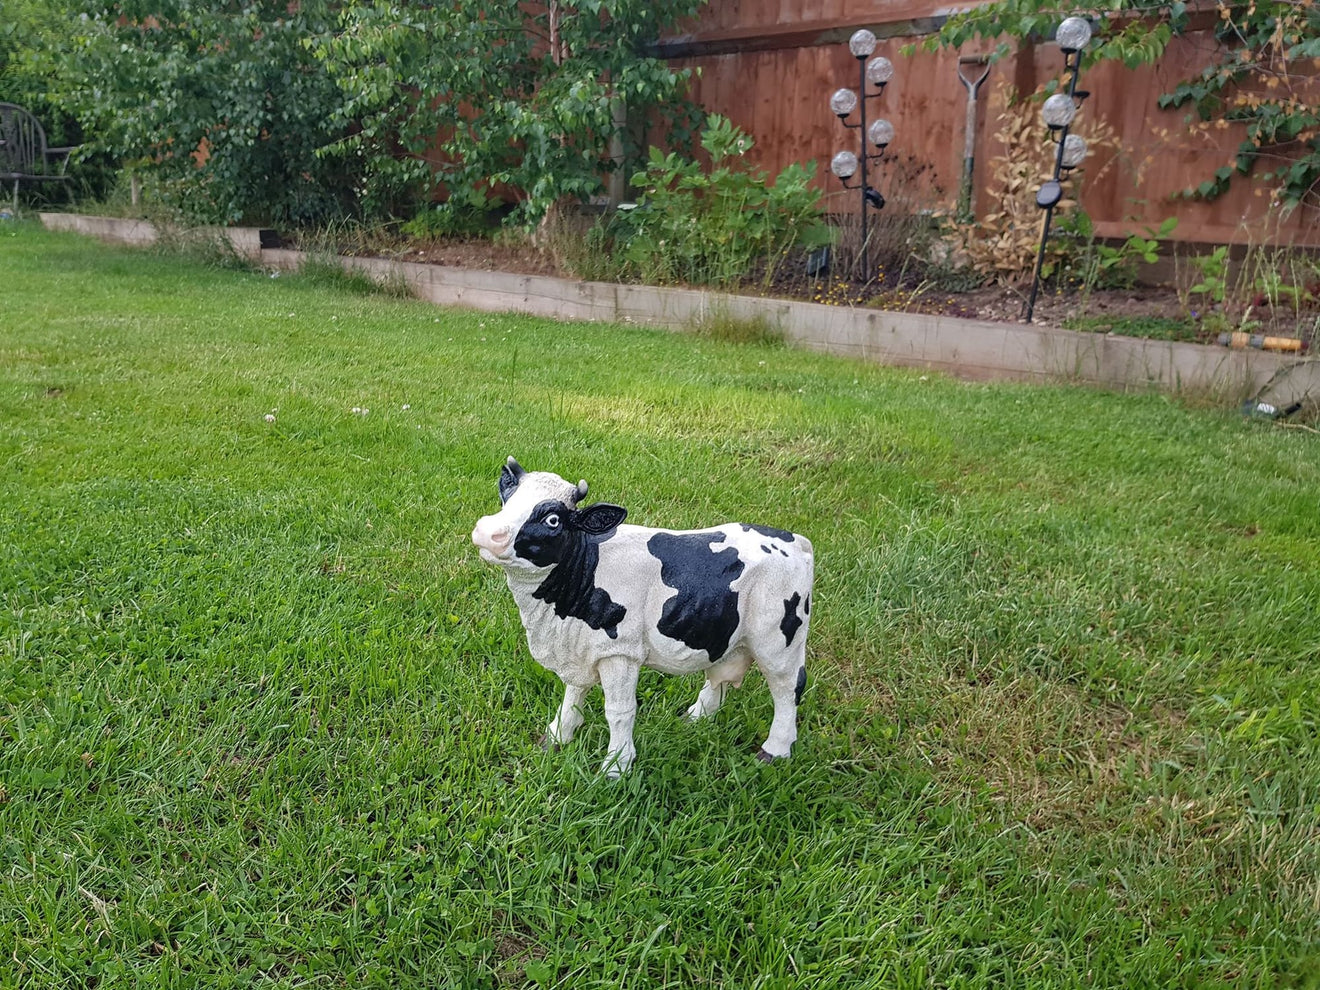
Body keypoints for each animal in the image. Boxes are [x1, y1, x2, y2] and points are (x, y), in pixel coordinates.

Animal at [471, 457, 814, 777]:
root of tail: (795, 539)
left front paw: (616, 767)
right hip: (724, 631)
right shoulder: (579, 648)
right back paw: (696, 717)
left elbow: (619, 710)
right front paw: (557, 737)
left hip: (779, 642)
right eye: (508, 498)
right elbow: (573, 694)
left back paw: (775, 750)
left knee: (788, 687)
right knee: (722, 675)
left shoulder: (620, 652)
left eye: (553, 519)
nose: (488, 532)